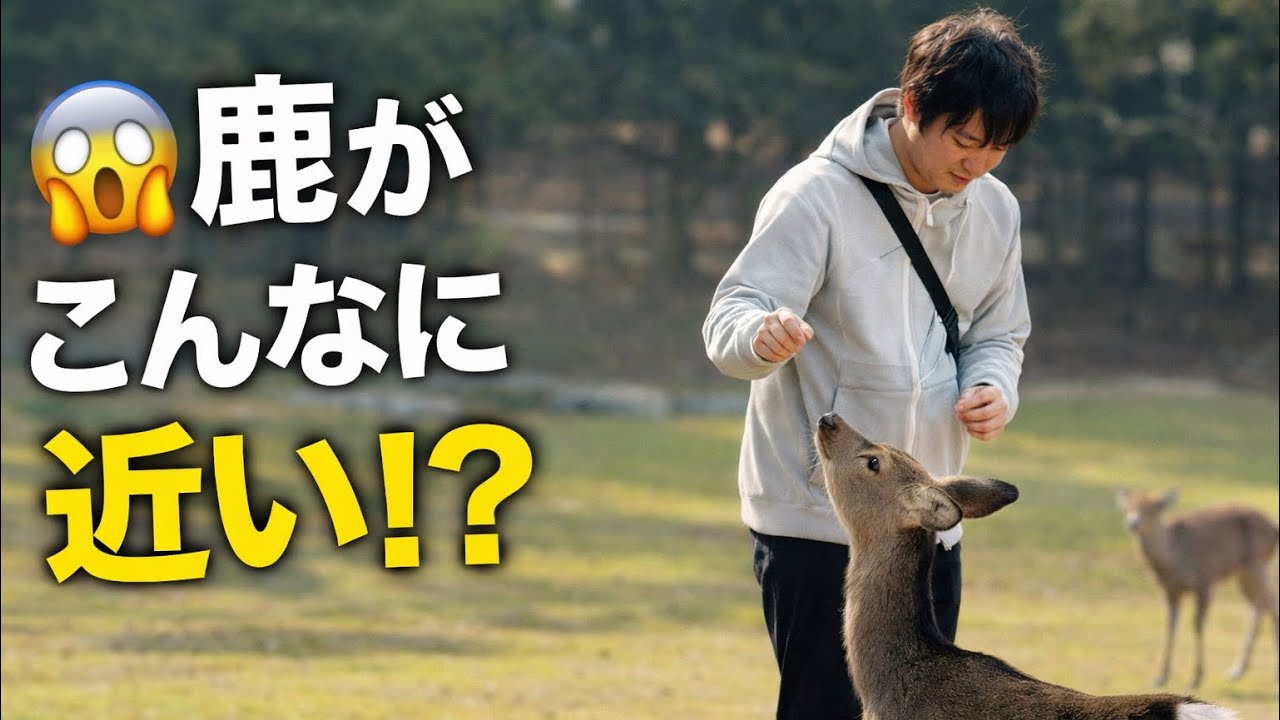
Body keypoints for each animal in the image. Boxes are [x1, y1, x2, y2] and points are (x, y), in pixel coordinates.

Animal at [1115, 488, 1279, 689]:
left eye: (1153, 509)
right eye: (1127, 507)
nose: (1133, 523)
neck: (1173, 561)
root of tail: (1274, 528)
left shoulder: (1204, 580)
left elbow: (1197, 625)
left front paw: (1196, 678)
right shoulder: (1171, 591)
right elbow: (1170, 627)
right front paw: (1161, 677)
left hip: (1256, 563)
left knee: (1270, 604)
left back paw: (1270, 673)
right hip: (1246, 571)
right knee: (1258, 606)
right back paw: (1237, 670)